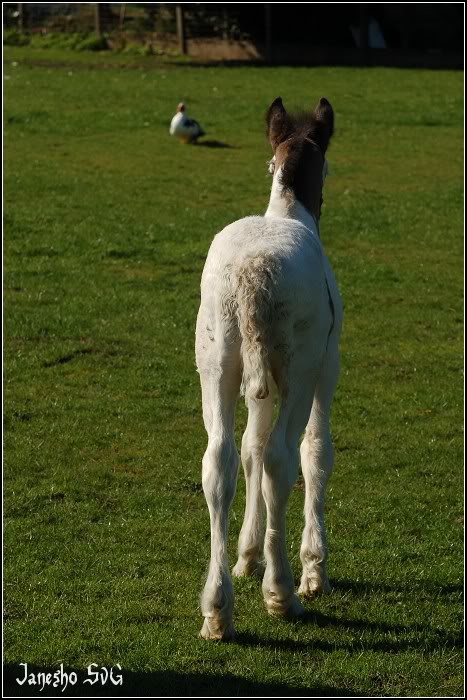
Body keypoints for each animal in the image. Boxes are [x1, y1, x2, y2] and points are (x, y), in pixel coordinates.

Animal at [195, 98, 344, 640]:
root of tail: (250, 274)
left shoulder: (253, 382)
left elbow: (249, 450)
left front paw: (246, 555)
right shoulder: (326, 366)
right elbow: (314, 450)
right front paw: (313, 570)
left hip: (218, 362)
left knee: (219, 459)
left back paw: (218, 607)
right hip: (300, 368)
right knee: (283, 457)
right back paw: (281, 594)